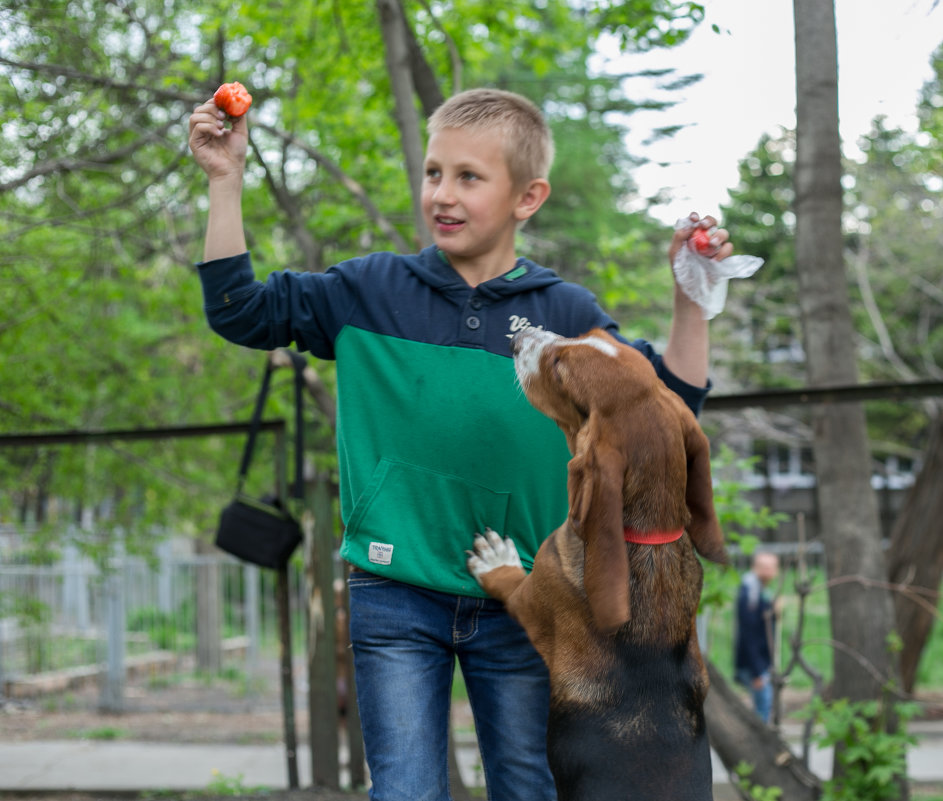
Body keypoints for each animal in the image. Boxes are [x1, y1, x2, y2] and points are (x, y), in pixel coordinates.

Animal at [468, 326, 728, 800]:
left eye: (558, 370)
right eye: (590, 334)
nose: (520, 335)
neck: (646, 539)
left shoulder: (531, 599)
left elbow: (509, 582)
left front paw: (495, 560)